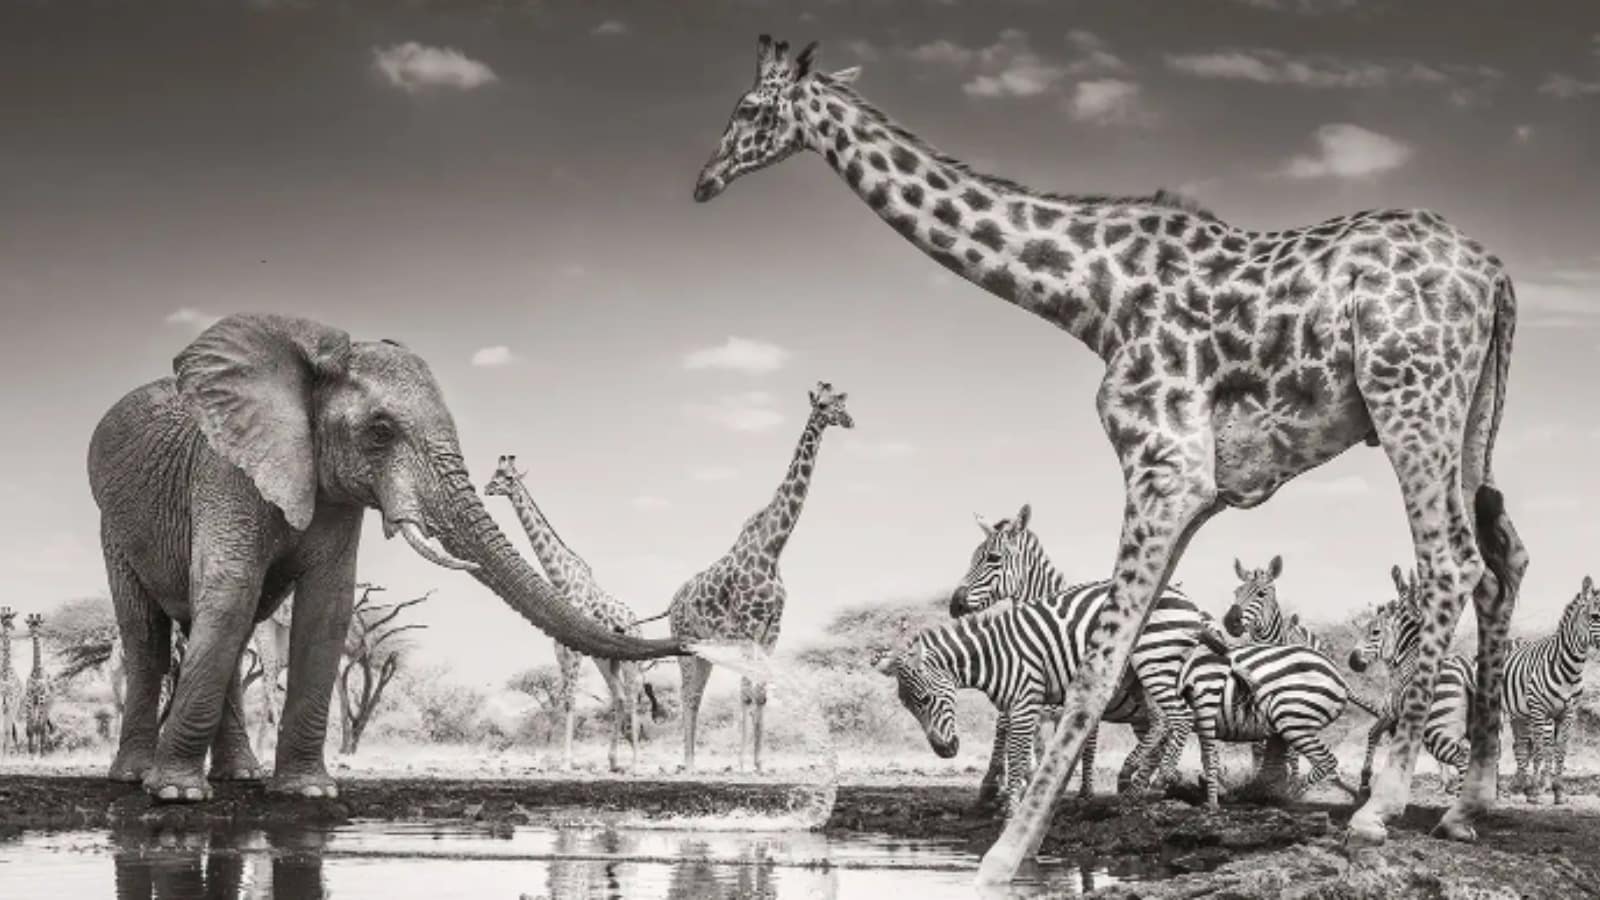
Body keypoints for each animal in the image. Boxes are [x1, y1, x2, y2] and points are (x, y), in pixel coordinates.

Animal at [89, 313, 682, 801]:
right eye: (380, 431)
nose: (688, 641)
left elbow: (328, 606)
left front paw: (307, 792)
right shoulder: (223, 469)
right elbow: (232, 590)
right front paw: (176, 795)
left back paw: (240, 776)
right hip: (112, 524)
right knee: (149, 633)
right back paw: (137, 778)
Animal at [876, 583, 1205, 817]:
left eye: (925, 699)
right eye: (907, 706)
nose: (944, 751)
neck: (994, 656)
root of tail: (1187, 599)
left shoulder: (1025, 700)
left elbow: (1018, 755)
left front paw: (1010, 810)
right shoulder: (1016, 706)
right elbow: (1021, 751)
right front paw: (1019, 795)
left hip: (1154, 659)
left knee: (1181, 716)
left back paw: (1160, 778)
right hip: (1141, 675)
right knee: (1162, 720)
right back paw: (1135, 784)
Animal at [948, 504, 1202, 801]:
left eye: (993, 558)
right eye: (973, 557)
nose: (954, 604)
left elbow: (1067, 742)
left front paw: (1058, 785)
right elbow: (1010, 726)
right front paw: (1000, 782)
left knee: (1173, 722)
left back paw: (1150, 781)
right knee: (1161, 729)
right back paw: (1145, 784)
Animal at [1347, 566, 1475, 794]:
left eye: (1375, 632)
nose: (1352, 662)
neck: (1407, 655)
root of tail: (1463, 669)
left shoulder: (1391, 711)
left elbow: (1374, 734)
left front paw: (1368, 782)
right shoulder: (1396, 717)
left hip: (1436, 728)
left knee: (1462, 757)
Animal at [1501, 575, 1600, 804]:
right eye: (1595, 616)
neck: (1570, 670)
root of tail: (1511, 639)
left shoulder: (1568, 713)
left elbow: (1560, 749)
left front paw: (1558, 791)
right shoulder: (1540, 711)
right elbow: (1542, 748)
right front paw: (1538, 789)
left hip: (1519, 714)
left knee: (1520, 745)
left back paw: (1520, 784)